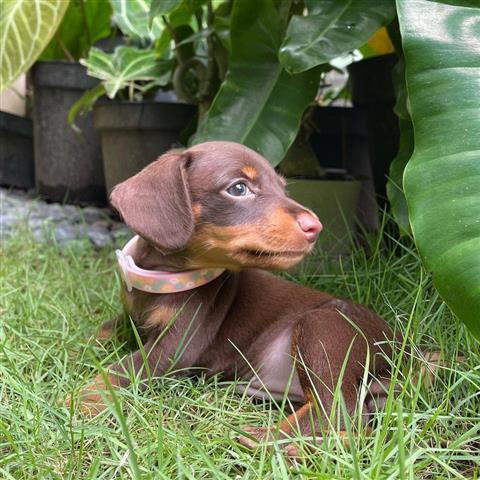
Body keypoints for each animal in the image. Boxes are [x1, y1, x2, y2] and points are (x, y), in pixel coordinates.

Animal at [68, 141, 398, 456]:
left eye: (282, 189)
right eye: (238, 188)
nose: (314, 227)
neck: (164, 278)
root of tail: (404, 355)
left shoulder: (177, 348)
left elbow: (121, 369)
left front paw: (81, 399)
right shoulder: (129, 319)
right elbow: (100, 332)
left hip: (323, 326)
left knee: (341, 412)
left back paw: (270, 441)